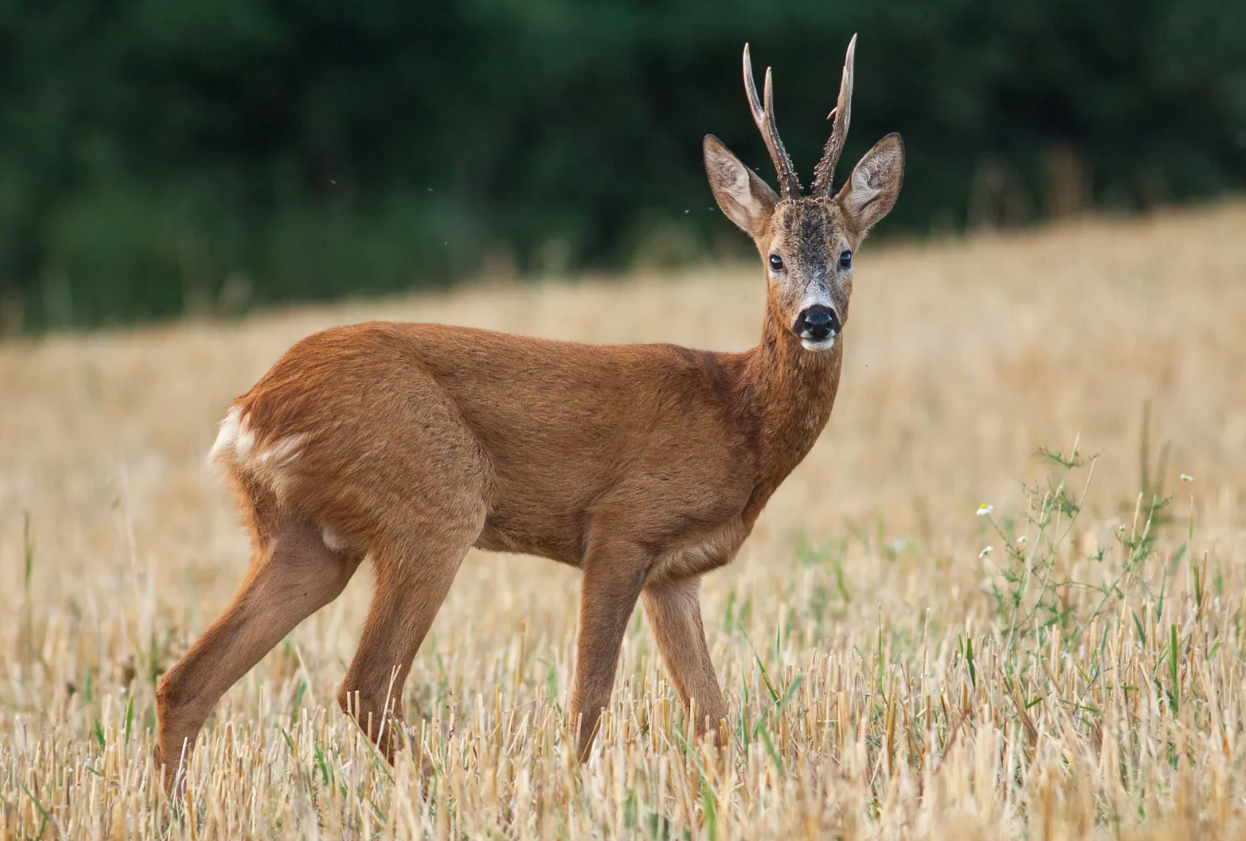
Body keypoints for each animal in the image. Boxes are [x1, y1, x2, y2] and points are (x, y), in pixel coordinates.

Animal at [155, 36, 902, 787]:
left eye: (846, 255)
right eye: (774, 258)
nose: (815, 319)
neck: (738, 415)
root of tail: (249, 413)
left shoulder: (676, 572)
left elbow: (713, 717)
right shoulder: (623, 526)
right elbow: (588, 699)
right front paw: (570, 789)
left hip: (305, 539)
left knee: (186, 679)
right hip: (432, 505)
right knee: (365, 686)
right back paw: (439, 791)